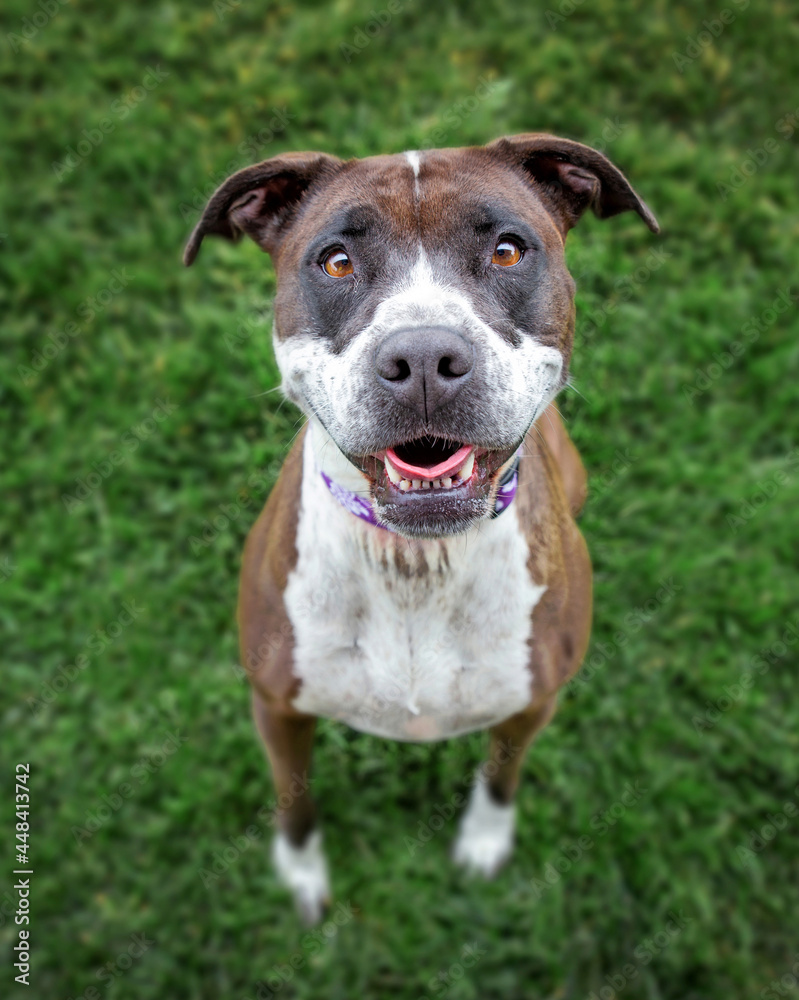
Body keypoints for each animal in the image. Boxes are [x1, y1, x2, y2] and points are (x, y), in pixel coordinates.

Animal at [184, 133, 660, 920]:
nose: (425, 358)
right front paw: (302, 875)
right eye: (336, 261)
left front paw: (484, 843)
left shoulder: (531, 703)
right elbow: (295, 801)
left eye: (506, 250)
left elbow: (501, 776)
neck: (414, 563)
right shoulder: (277, 707)